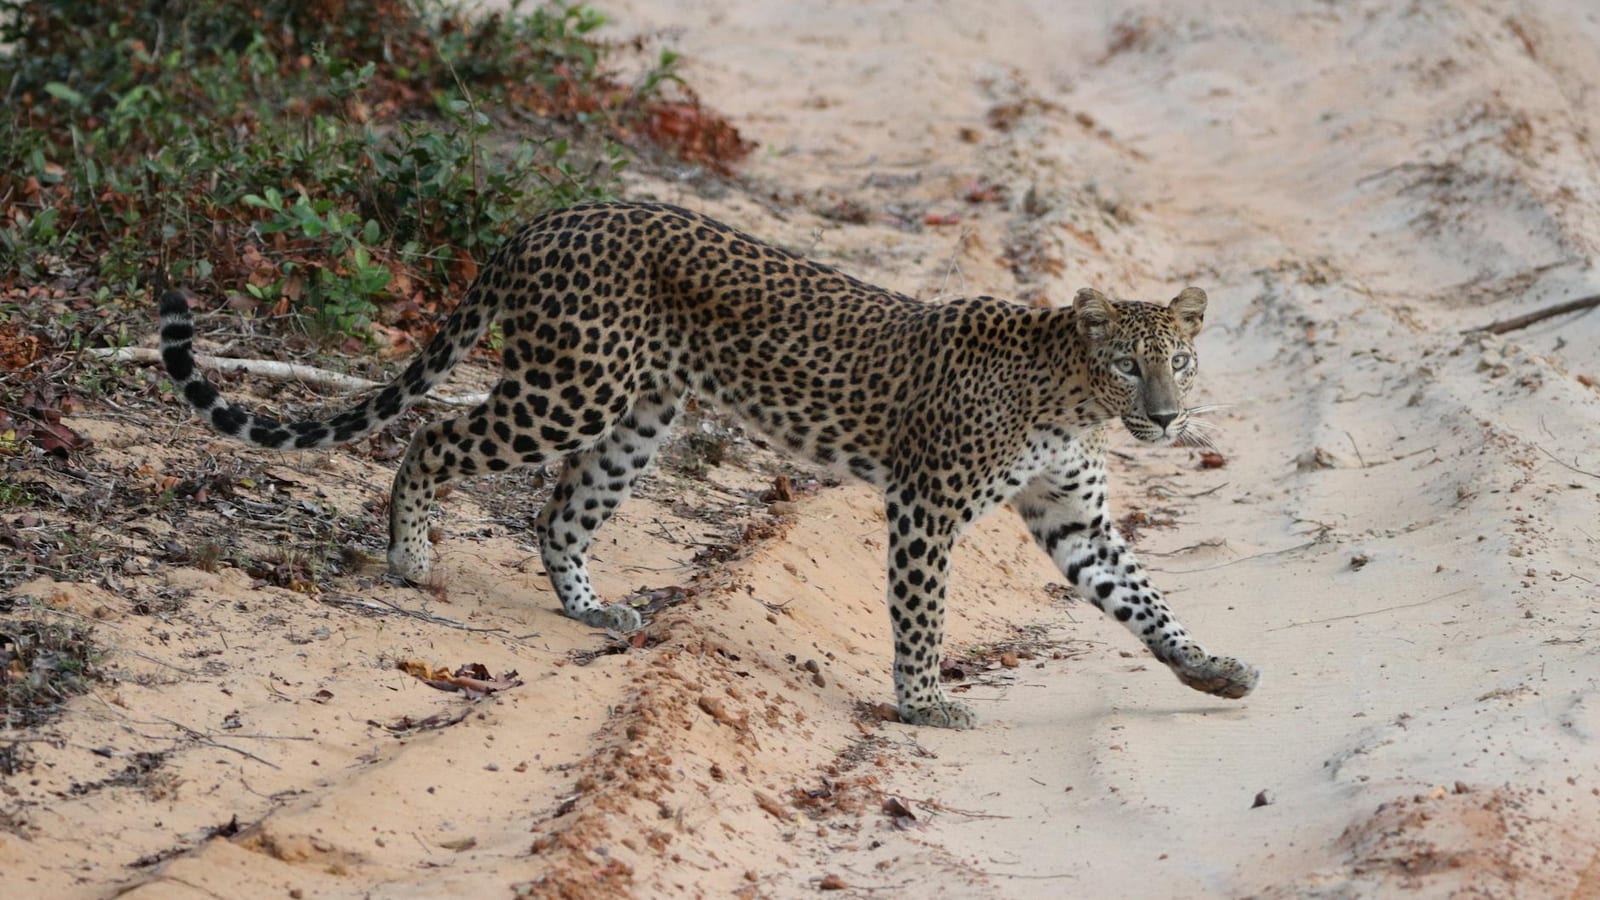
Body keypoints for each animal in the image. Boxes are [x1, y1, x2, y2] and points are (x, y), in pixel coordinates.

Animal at [158, 200, 1260, 728]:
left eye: (1179, 361)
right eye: (1127, 365)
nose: (1165, 419)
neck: (1071, 400)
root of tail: (545, 218)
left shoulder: (1073, 516)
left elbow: (1141, 599)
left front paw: (1209, 669)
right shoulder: (927, 505)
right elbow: (922, 614)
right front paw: (925, 704)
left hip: (639, 414)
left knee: (559, 510)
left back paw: (590, 608)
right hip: (571, 388)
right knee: (436, 436)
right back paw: (412, 556)